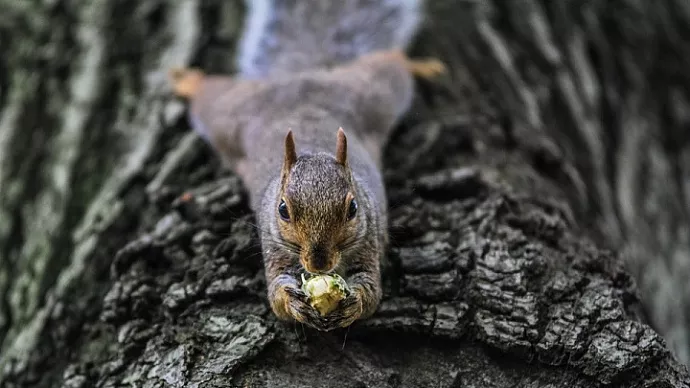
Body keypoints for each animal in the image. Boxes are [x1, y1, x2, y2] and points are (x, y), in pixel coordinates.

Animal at [169, 0, 444, 332]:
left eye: (353, 209)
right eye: (282, 210)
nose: (319, 264)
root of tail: (301, 76)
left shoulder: (368, 241)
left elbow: (372, 291)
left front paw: (354, 303)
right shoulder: (274, 246)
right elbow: (276, 296)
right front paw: (292, 301)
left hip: (373, 92)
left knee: (391, 62)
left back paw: (422, 66)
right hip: (228, 114)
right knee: (209, 94)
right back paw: (187, 80)